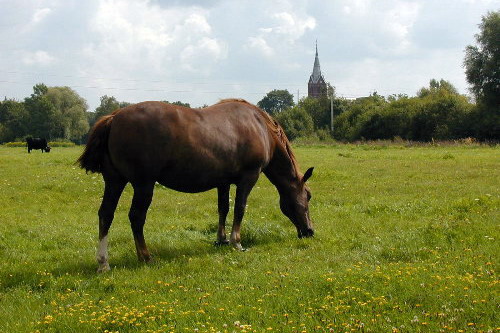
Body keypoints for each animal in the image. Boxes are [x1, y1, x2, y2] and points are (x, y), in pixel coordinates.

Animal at [78, 98, 312, 270]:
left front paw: (221, 239)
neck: (259, 126)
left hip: (114, 181)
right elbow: (239, 208)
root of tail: (114, 117)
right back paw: (145, 256)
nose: (309, 231)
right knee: (136, 216)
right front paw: (236, 241)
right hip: (143, 184)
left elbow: (223, 208)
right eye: (308, 196)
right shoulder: (248, 177)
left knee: (106, 214)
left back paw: (103, 262)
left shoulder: (223, 182)